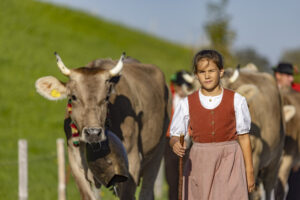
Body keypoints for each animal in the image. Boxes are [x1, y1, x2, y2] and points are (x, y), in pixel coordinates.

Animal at [34, 53, 171, 200]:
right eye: (73, 97)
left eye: (106, 97)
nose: (93, 133)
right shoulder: (75, 162)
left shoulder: (133, 159)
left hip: (158, 151)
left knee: (147, 192)